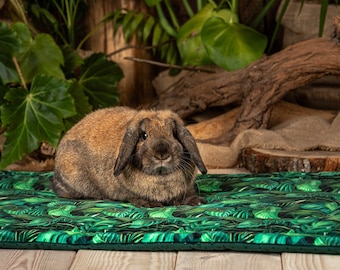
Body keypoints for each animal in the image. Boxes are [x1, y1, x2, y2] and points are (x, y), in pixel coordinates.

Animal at [53, 106, 207, 208]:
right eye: (144, 135)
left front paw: (196, 201)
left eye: (174, 134)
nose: (162, 154)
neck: (161, 178)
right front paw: (151, 204)